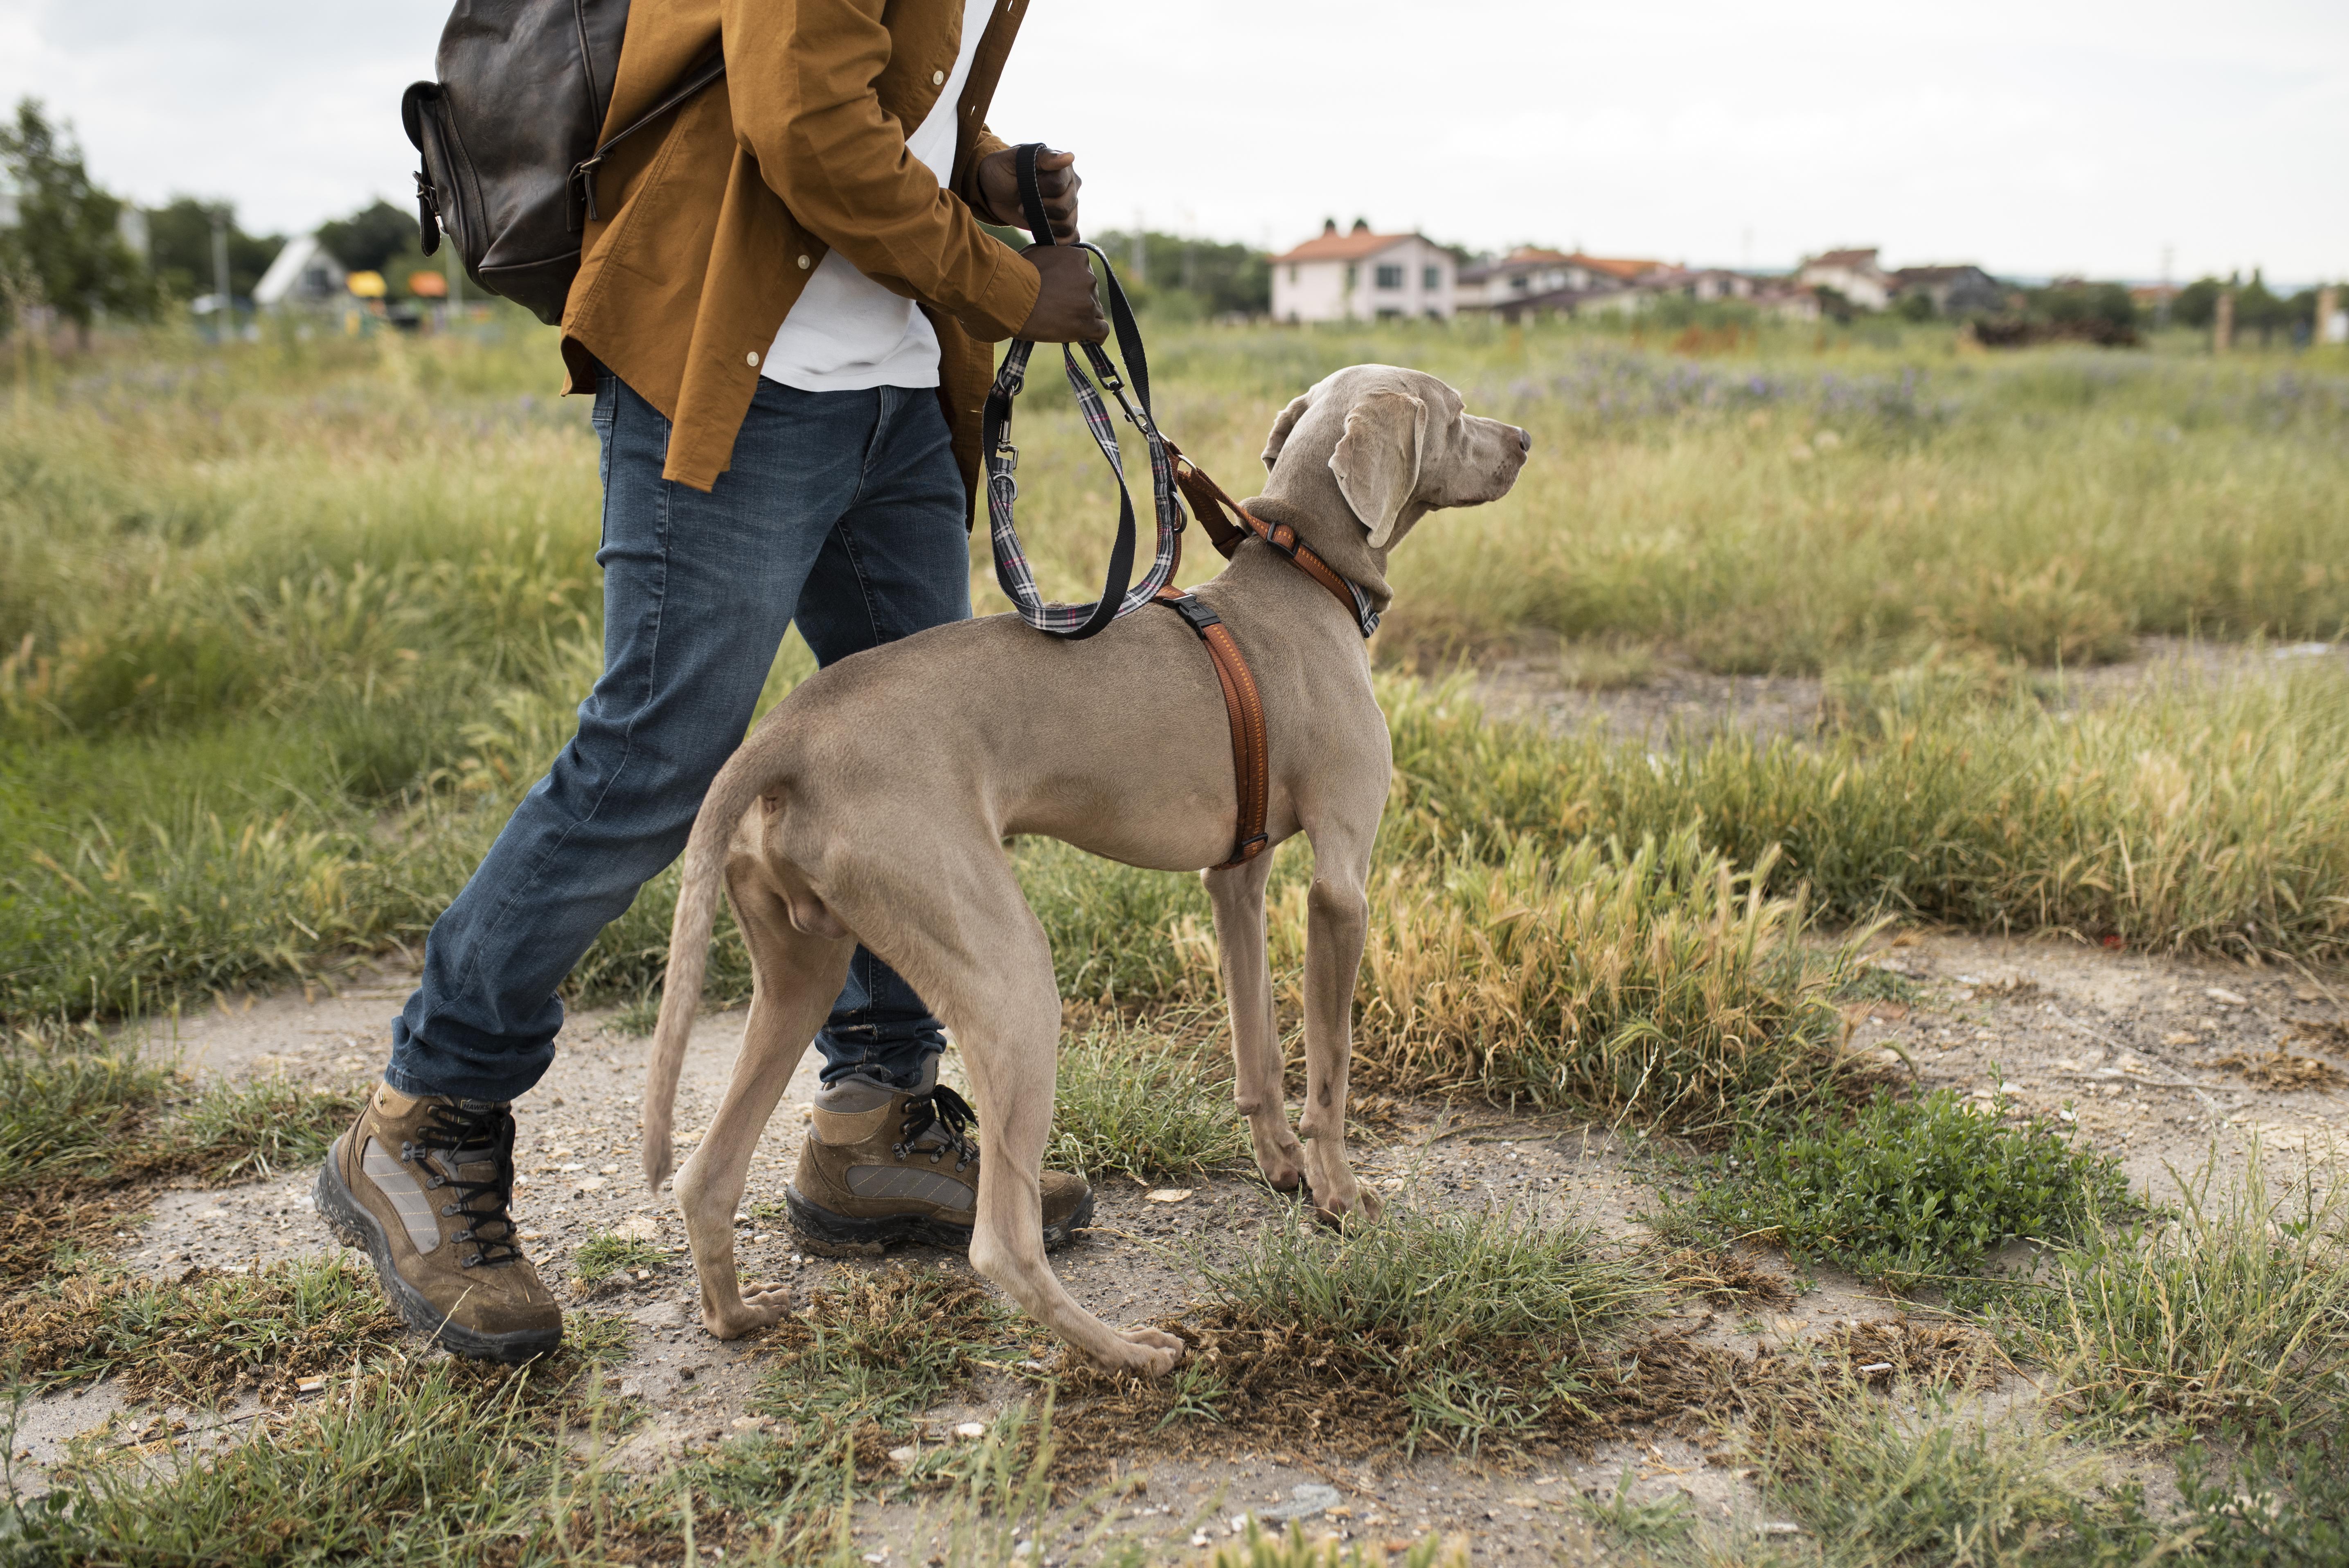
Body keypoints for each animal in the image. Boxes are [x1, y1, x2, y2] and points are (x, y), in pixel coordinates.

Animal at [634, 369, 1531, 1373]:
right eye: (1455, 412)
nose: (1525, 440)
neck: (1303, 578)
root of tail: (785, 731)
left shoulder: (1236, 876)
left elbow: (1258, 1042)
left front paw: (1280, 1168)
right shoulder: (1340, 884)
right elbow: (1330, 1068)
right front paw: (1339, 1194)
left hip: (803, 963)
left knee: (707, 1175)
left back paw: (738, 1315)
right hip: (1009, 974)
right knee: (1000, 1242)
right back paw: (1130, 1351)